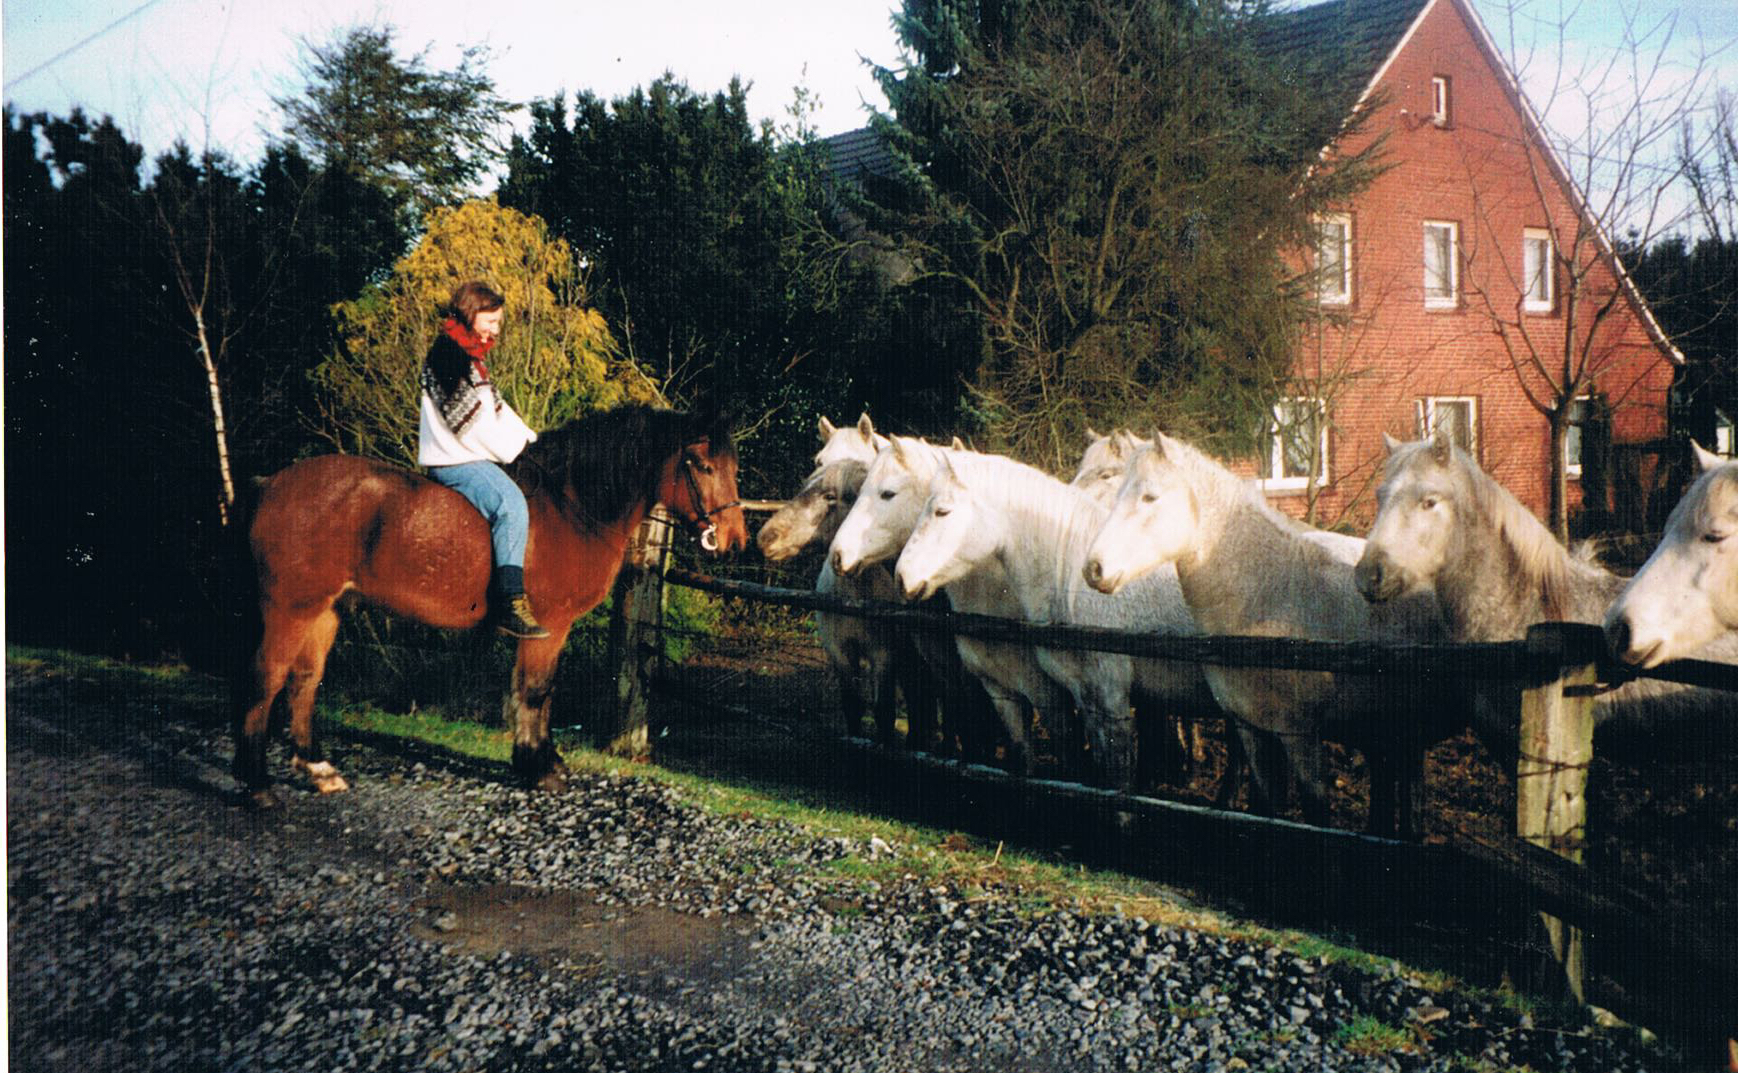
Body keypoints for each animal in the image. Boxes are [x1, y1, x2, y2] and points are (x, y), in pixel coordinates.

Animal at [232, 401, 747, 803]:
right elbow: (535, 690)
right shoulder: (550, 625)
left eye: (733, 469)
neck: (571, 508)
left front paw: (542, 760)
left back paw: (318, 770)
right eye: (703, 466)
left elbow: (537, 691)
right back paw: (257, 784)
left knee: (304, 681)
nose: (734, 540)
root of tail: (272, 483)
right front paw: (538, 768)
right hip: (291, 609)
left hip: (325, 610)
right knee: (266, 678)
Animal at [896, 448, 1223, 789]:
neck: (1074, 584)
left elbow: (1117, 773)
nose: (902, 577)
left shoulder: (1110, 696)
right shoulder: (1082, 695)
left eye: (942, 512)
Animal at [1084, 431, 1452, 831]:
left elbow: (1315, 812)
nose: (1093, 568)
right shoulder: (1252, 730)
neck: (1274, 594)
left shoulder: (1300, 736)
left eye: (1149, 496)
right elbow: (1265, 807)